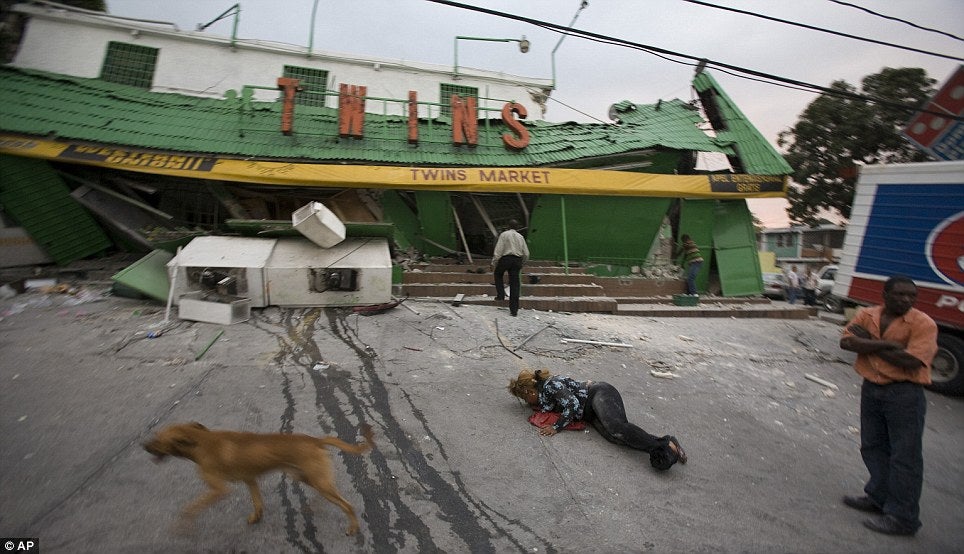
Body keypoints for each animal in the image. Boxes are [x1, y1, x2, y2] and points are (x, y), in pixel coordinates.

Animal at [143, 420, 376, 532]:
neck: (201, 441)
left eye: (158, 439)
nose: (143, 445)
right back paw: (313, 506)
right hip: (308, 477)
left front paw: (183, 524)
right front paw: (257, 517)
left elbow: (190, 508)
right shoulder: (250, 479)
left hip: (319, 481)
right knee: (329, 496)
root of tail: (315, 440)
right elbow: (257, 502)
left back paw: (353, 527)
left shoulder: (219, 490)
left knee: (347, 505)